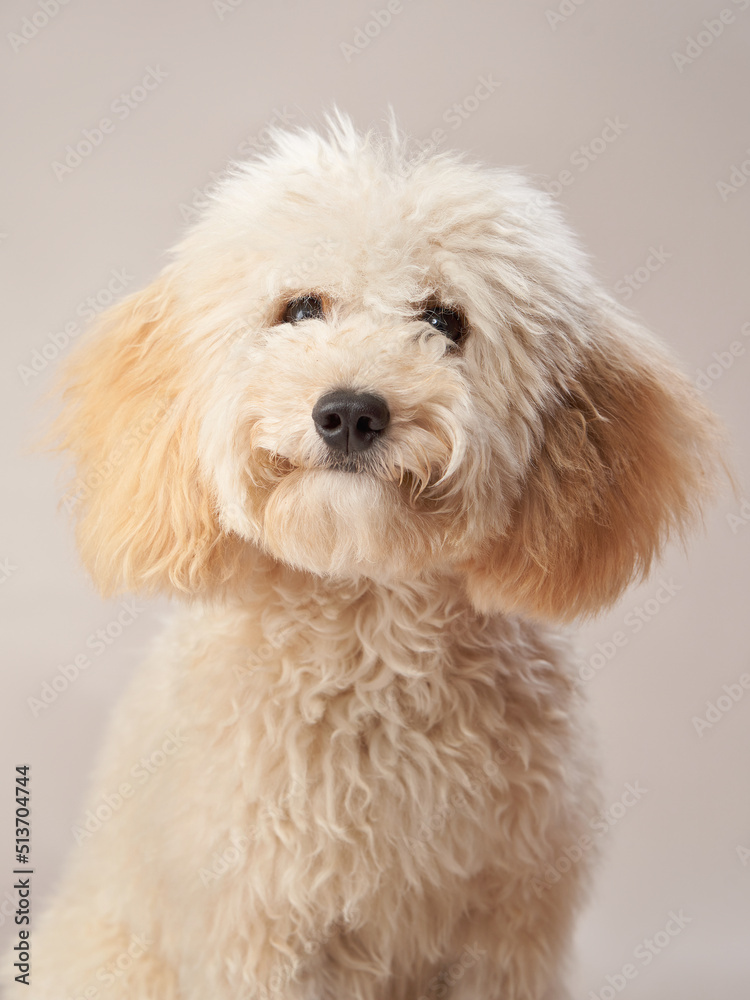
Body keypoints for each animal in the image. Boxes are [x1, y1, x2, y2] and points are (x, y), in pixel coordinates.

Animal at [7, 115, 724, 1000]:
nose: (349, 411)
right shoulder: (258, 931)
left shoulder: (508, 932)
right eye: (301, 308)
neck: (369, 635)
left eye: (445, 320)